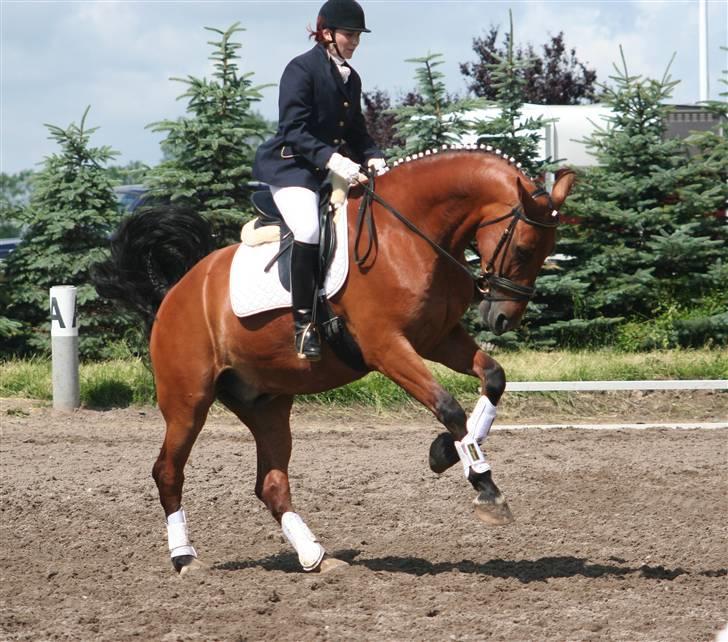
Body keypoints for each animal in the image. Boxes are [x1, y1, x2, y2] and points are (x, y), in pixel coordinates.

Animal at [95, 148, 576, 572]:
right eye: (524, 249)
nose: (502, 318)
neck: (410, 232)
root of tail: (173, 292)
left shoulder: (437, 339)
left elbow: (492, 378)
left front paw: (446, 451)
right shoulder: (387, 347)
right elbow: (448, 406)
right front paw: (483, 484)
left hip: (266, 404)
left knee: (270, 484)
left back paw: (316, 557)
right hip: (188, 403)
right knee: (168, 473)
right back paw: (185, 559)